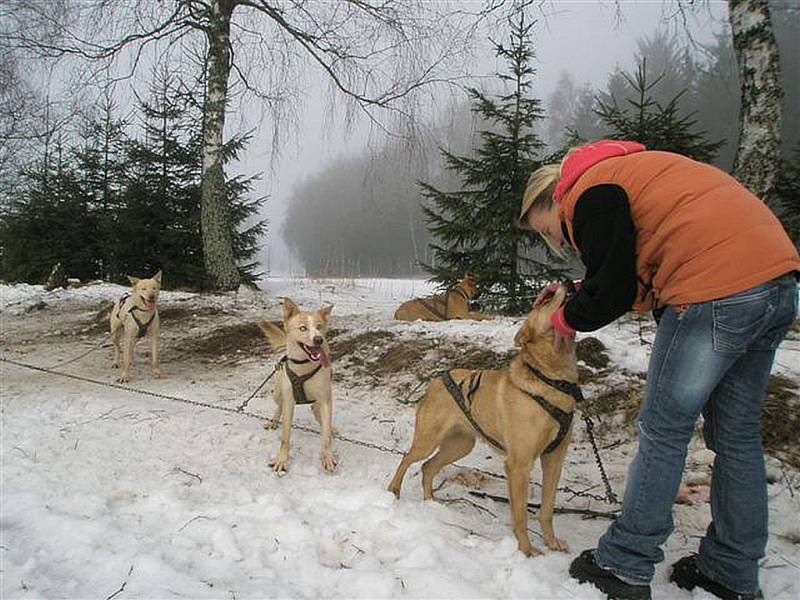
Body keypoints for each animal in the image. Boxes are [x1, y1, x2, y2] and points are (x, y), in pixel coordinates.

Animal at [260, 298, 334, 476]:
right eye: (303, 328)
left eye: (319, 326)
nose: (319, 339)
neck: (304, 367)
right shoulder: (289, 402)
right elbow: (285, 438)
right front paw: (281, 461)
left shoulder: (325, 400)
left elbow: (326, 436)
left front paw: (327, 457)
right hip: (277, 393)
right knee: (279, 406)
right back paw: (274, 421)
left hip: (319, 402)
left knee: (318, 414)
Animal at [388, 284, 576, 556]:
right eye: (545, 301)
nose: (564, 284)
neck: (553, 380)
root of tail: (436, 380)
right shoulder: (519, 465)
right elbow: (520, 515)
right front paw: (526, 550)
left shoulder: (554, 460)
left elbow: (547, 510)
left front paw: (551, 542)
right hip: (428, 441)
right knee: (407, 459)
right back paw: (393, 490)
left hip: (460, 445)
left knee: (428, 467)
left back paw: (431, 501)